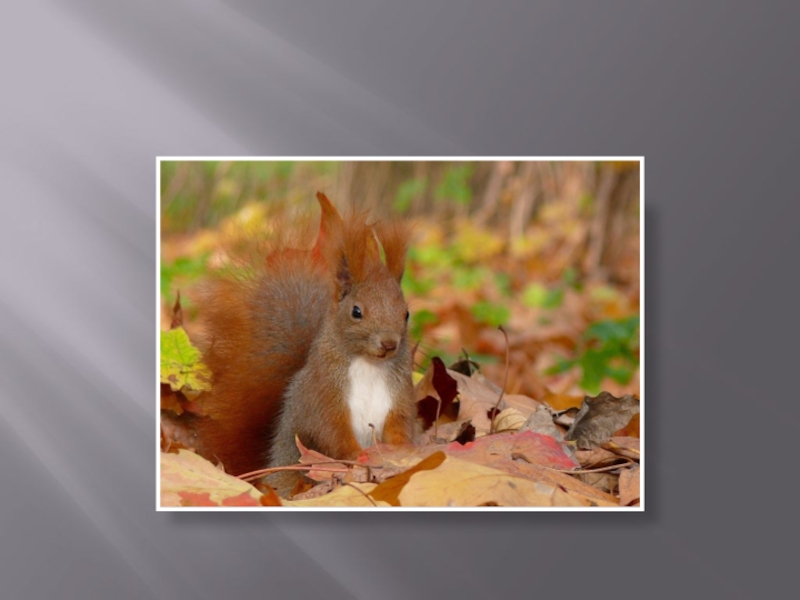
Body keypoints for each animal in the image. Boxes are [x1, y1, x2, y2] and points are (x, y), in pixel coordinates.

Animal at [191, 193, 416, 496]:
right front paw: (359, 457)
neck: (369, 364)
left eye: (406, 314)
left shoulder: (398, 396)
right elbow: (332, 433)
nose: (390, 343)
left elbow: (399, 427)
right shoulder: (324, 396)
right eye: (356, 311)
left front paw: (404, 453)